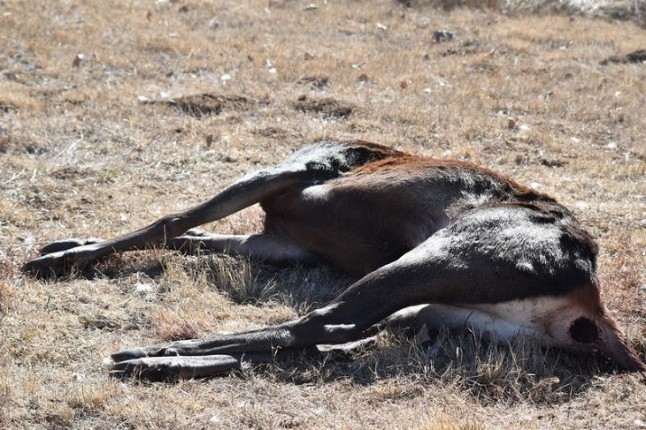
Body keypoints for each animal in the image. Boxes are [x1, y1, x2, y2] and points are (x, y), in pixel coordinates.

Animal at [22, 140, 645, 380]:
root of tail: (591, 301)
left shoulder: (286, 175)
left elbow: (171, 222)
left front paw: (59, 258)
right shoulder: (279, 243)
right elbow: (188, 236)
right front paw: (66, 246)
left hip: (433, 259)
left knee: (322, 323)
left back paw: (153, 353)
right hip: (430, 308)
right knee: (327, 341)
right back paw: (163, 363)